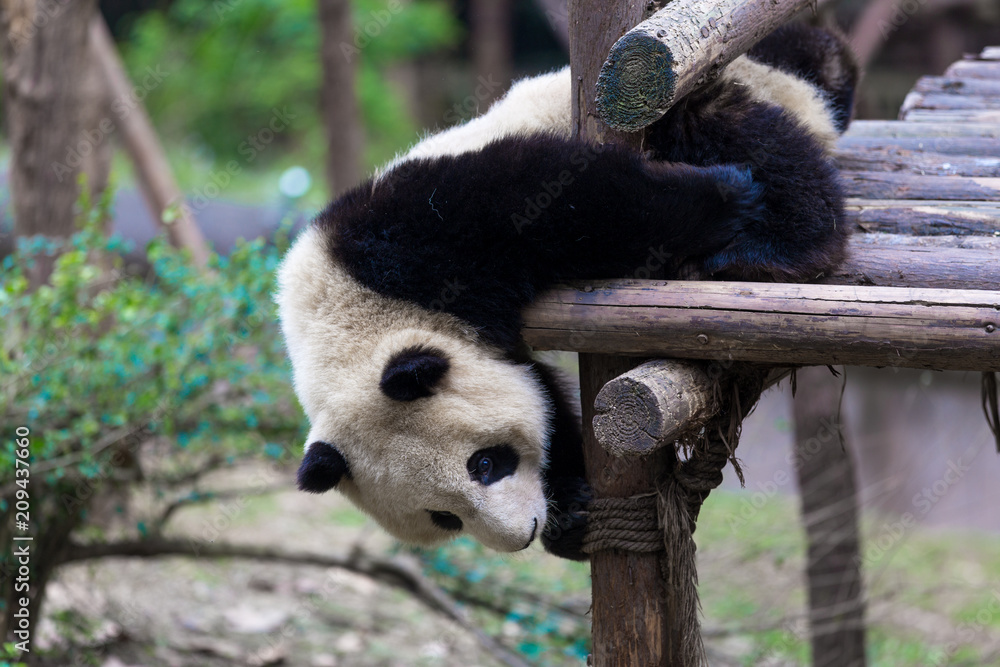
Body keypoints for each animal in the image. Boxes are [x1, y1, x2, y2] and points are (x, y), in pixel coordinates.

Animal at [276, 24, 859, 561]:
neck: (348, 318)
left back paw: (774, 244)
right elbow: (546, 399)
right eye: (444, 517)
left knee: (754, 137)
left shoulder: (414, 240)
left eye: (484, 464)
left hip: (708, 95)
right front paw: (572, 515)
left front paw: (722, 198)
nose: (524, 533)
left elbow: (563, 199)